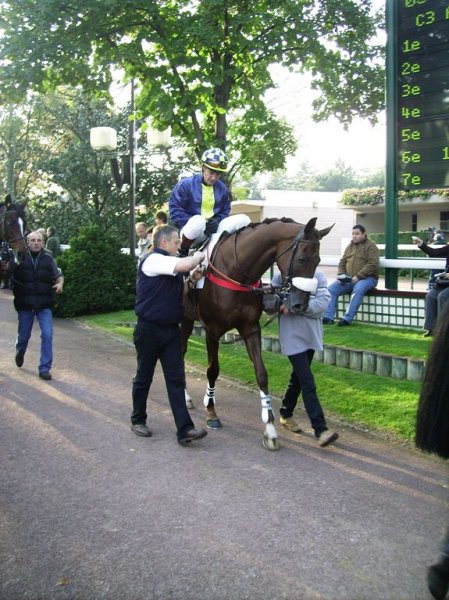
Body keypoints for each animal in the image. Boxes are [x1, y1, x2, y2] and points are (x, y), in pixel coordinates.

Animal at [181, 217, 332, 450]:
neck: (235, 270)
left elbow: (261, 374)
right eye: (302, 258)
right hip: (185, 319)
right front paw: (212, 412)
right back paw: (185, 397)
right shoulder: (212, 330)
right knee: (179, 353)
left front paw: (269, 428)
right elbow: (212, 370)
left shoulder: (251, 329)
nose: (300, 305)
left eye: (318, 260)